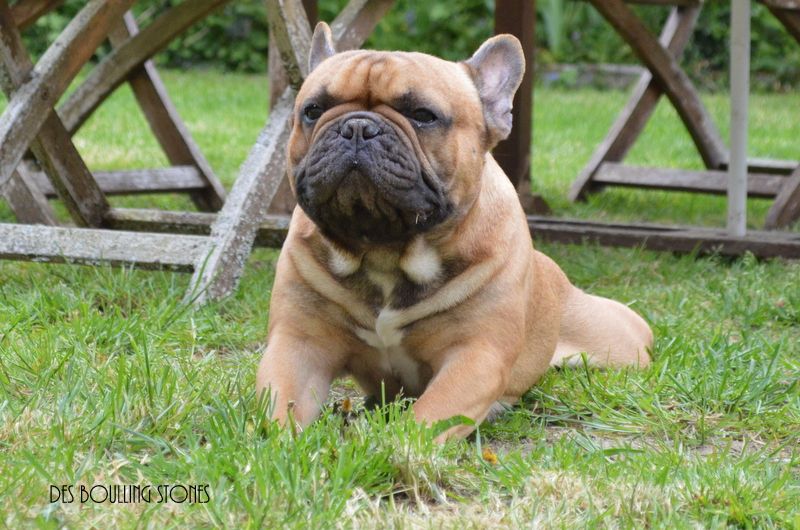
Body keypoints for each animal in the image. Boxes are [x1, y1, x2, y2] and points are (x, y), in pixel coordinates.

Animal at [256, 22, 648, 440]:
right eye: (313, 110)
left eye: (423, 115)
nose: (357, 127)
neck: (384, 251)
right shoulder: (298, 344)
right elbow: (281, 407)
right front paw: (281, 443)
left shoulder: (475, 356)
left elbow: (427, 416)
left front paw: (390, 446)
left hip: (619, 344)